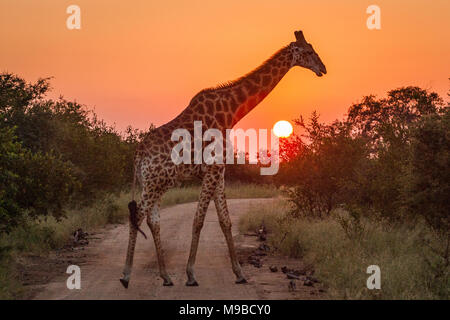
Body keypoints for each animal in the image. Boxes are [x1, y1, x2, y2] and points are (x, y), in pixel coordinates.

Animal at [118, 31, 324, 288]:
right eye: (308, 51)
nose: (323, 68)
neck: (231, 111)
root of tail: (138, 155)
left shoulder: (219, 171)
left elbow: (225, 221)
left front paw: (239, 273)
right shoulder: (214, 168)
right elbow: (199, 220)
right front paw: (191, 274)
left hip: (153, 183)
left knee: (152, 220)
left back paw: (165, 277)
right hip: (157, 182)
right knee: (138, 215)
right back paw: (126, 275)